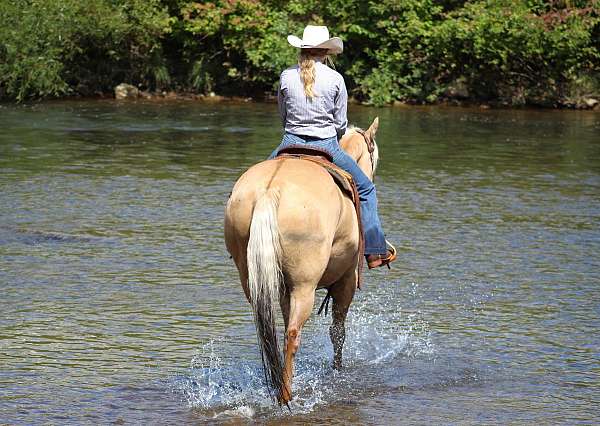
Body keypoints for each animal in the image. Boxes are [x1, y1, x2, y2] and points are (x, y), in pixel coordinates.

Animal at [225, 118, 380, 404]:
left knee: (270, 333)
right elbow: (338, 332)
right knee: (293, 334)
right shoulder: (347, 280)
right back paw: (286, 394)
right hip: (304, 286)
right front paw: (337, 370)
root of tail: (270, 191)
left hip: (253, 279)